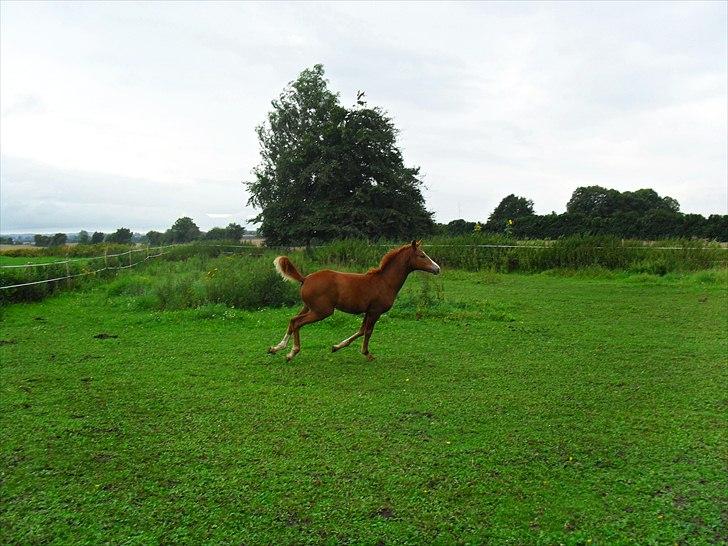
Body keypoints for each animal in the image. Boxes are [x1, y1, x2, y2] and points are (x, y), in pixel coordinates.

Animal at [266, 239, 438, 360]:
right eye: (422, 255)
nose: (437, 268)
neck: (384, 282)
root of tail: (305, 278)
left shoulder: (368, 311)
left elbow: (361, 331)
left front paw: (336, 347)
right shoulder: (375, 311)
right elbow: (367, 332)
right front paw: (367, 353)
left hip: (308, 307)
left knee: (292, 320)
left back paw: (276, 348)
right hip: (322, 311)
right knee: (297, 322)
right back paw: (291, 353)